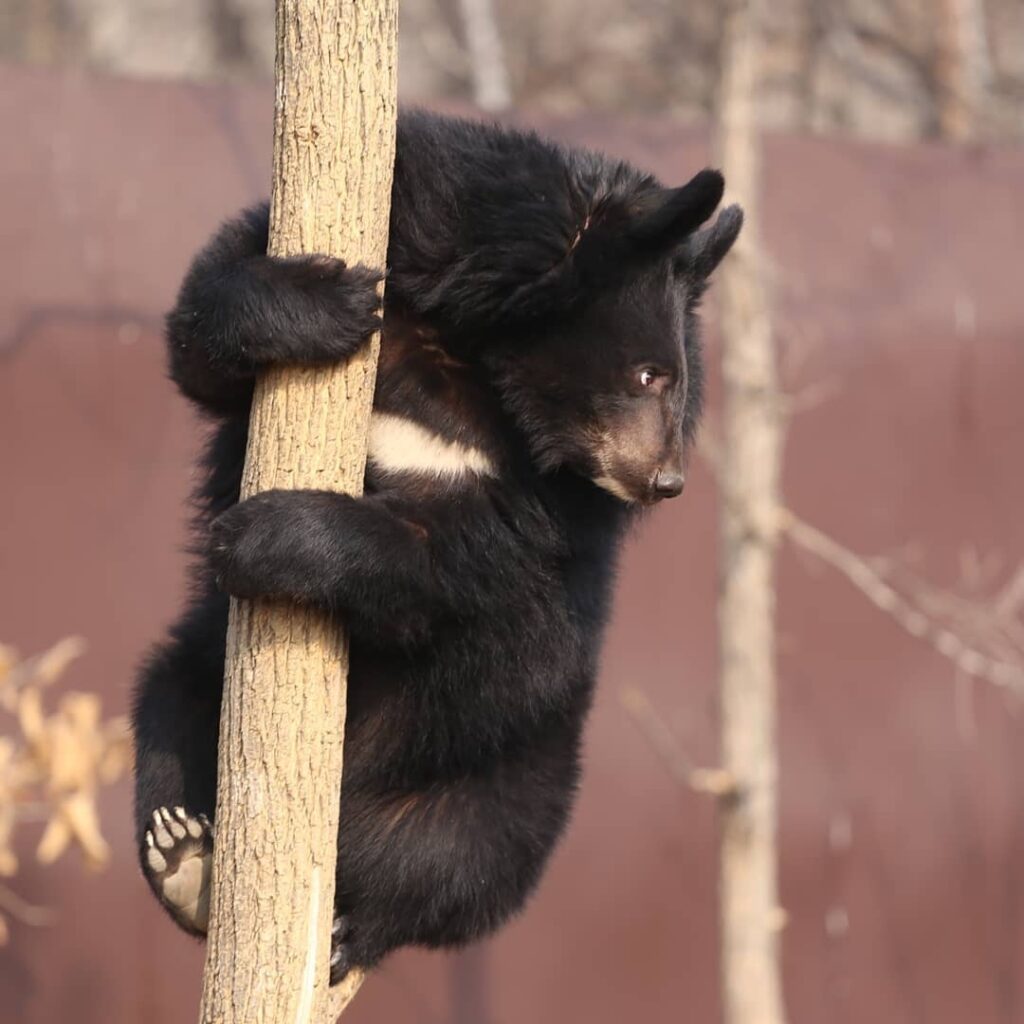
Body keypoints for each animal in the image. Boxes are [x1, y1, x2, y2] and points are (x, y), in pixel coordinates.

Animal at [132, 109, 742, 983]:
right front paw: (329, 303)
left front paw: (262, 532)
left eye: (674, 380)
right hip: (199, 670)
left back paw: (348, 928)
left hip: (505, 772)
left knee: (448, 865)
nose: (667, 481)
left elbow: (457, 563)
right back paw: (184, 853)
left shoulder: (542, 509)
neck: (479, 356)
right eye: (649, 374)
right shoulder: (408, 226)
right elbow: (204, 336)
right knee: (167, 719)